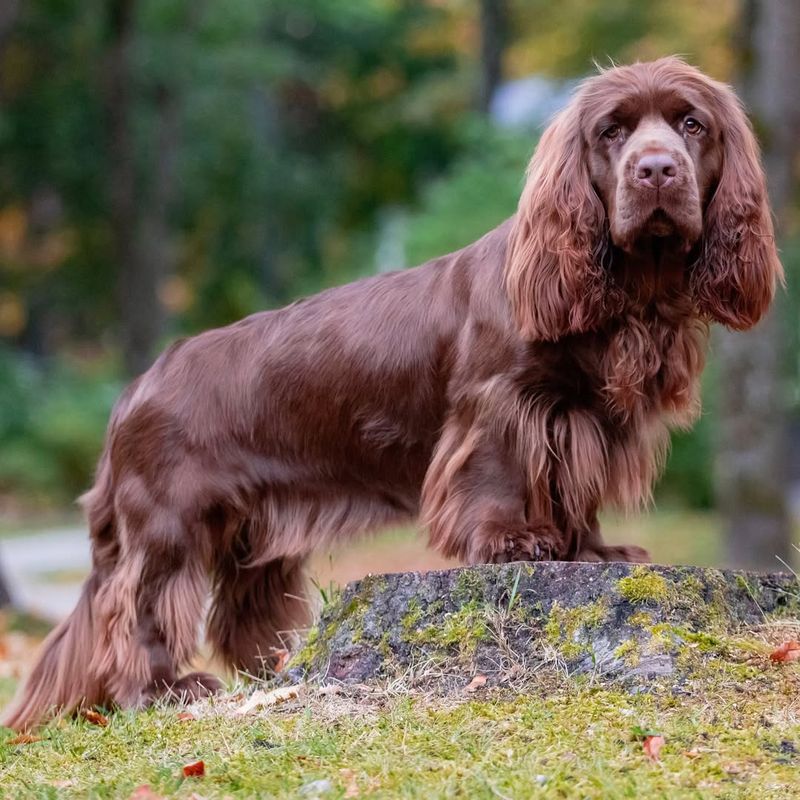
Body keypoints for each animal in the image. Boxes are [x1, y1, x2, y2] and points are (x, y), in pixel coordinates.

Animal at [3, 59, 780, 728]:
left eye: (691, 125)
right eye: (611, 132)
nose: (657, 170)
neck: (630, 295)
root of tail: (135, 389)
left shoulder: (582, 419)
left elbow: (572, 491)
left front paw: (590, 550)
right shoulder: (500, 405)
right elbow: (502, 475)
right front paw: (513, 542)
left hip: (253, 531)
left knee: (236, 611)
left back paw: (269, 675)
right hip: (169, 522)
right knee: (136, 607)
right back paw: (163, 689)